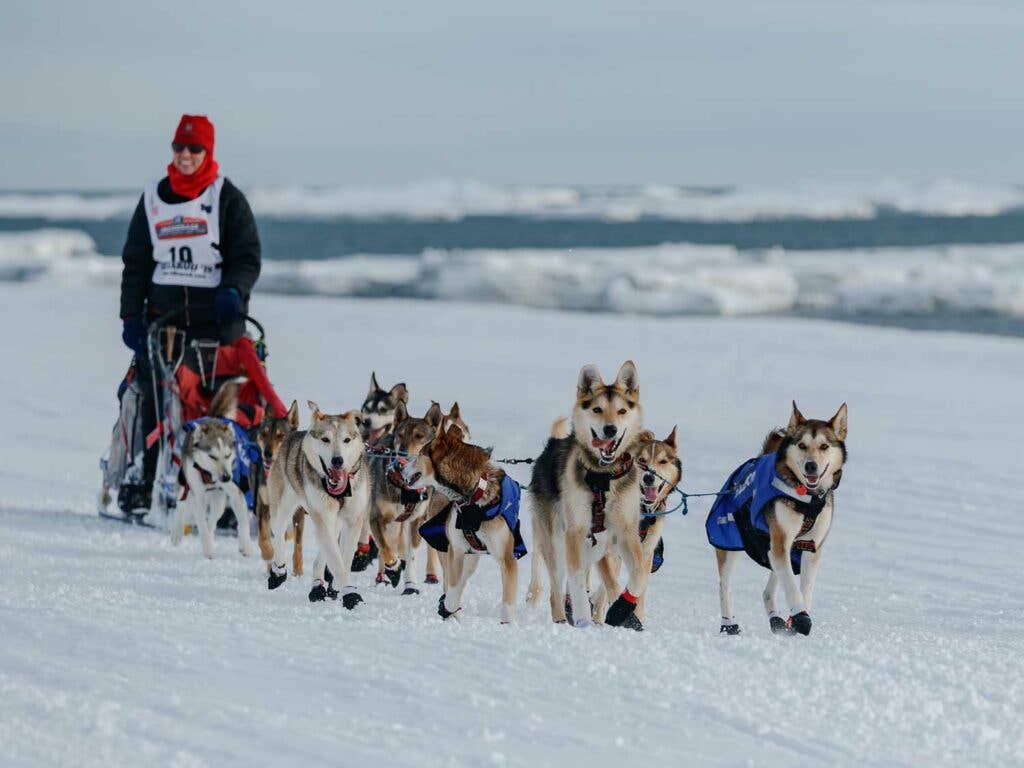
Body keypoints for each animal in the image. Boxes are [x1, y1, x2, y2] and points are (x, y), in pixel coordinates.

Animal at [169, 382, 253, 561]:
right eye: (212, 456)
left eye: (227, 455)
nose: (226, 477)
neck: (210, 474)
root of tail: (215, 416)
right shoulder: (197, 494)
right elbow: (200, 522)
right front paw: (208, 549)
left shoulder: (237, 493)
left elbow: (243, 522)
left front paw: (246, 546)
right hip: (184, 485)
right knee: (181, 506)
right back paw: (177, 532)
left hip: (219, 501)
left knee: (213, 521)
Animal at [264, 403, 372, 614]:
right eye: (325, 439)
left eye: (346, 440)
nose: (337, 460)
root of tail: (292, 435)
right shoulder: (322, 515)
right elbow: (337, 561)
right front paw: (351, 595)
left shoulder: (352, 521)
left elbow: (343, 559)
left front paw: (339, 587)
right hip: (282, 510)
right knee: (279, 537)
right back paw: (279, 572)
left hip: (332, 521)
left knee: (322, 554)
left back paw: (317, 587)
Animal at [528, 364, 647, 626]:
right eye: (597, 409)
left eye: (621, 411)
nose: (610, 429)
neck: (603, 477)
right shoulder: (575, 530)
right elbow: (577, 584)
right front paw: (583, 620)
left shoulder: (626, 531)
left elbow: (639, 571)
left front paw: (621, 609)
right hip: (557, 543)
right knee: (556, 590)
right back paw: (562, 621)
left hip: (596, 547)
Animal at [712, 403, 847, 638]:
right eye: (802, 445)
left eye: (824, 446)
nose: (811, 466)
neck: (807, 499)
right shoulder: (781, 541)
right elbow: (792, 587)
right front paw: (801, 617)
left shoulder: (811, 547)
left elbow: (805, 588)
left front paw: (797, 618)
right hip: (731, 543)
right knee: (724, 587)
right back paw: (728, 624)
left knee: (767, 591)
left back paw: (775, 619)